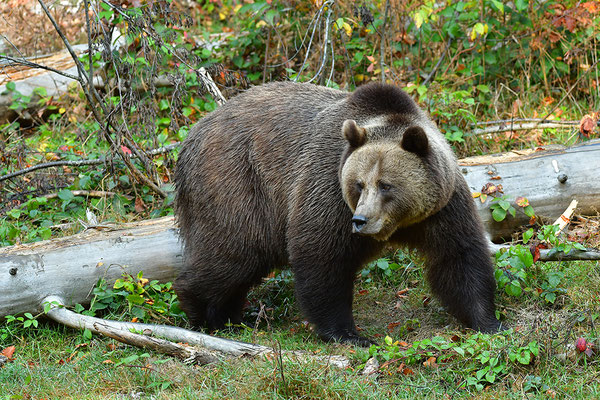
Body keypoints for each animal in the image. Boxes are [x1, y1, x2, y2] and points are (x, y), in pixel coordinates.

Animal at [175, 80, 502, 344]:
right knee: (234, 253)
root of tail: (190, 138)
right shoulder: (328, 188)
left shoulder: (442, 206)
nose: (361, 220)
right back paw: (204, 313)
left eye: (386, 185)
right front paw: (348, 334)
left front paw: (487, 321)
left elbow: (458, 255)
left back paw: (230, 316)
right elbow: (322, 258)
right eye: (359, 184)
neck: (400, 223)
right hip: (237, 180)